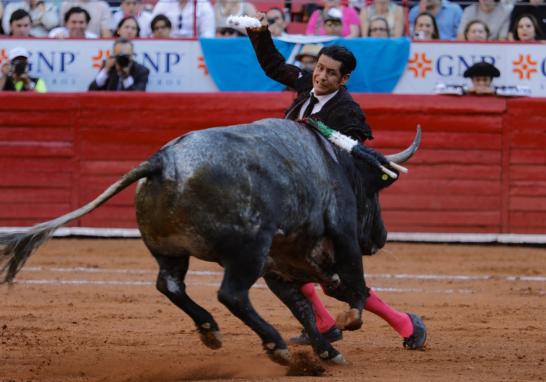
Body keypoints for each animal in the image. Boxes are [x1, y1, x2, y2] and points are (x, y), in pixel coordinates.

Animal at [0, 118, 418, 366]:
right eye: (374, 190)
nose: (381, 237)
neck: (335, 162)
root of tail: (161, 161)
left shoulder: (280, 263)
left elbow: (303, 305)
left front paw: (328, 350)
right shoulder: (340, 233)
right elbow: (355, 283)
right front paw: (350, 321)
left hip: (169, 249)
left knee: (170, 284)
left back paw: (210, 330)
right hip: (249, 250)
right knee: (231, 294)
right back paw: (274, 344)